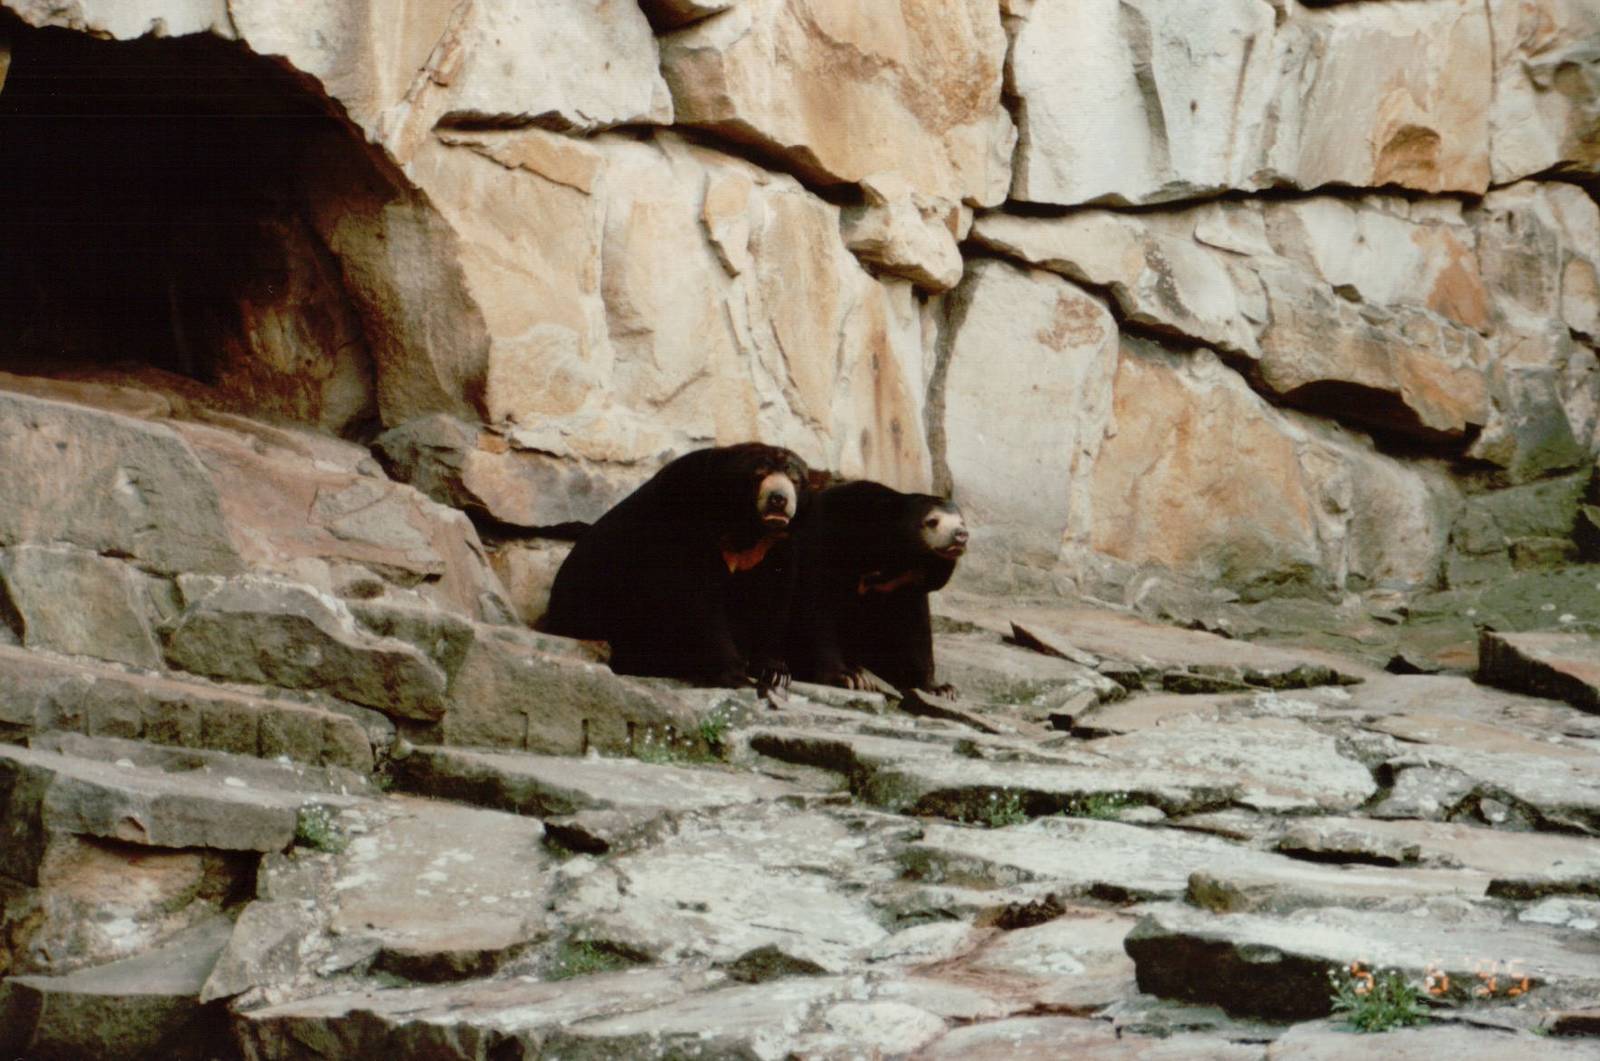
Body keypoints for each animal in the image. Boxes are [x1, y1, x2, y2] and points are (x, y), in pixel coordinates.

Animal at [539, 442, 808, 691]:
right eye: (759, 476)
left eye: (794, 481)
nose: (779, 499)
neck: (744, 525)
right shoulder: (683, 517)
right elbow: (692, 596)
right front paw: (734, 673)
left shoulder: (773, 545)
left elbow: (774, 595)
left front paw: (775, 672)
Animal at [785, 479, 968, 697]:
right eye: (932, 521)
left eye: (962, 522)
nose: (961, 535)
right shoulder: (824, 544)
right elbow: (817, 607)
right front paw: (845, 677)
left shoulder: (907, 585)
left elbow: (916, 629)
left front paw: (940, 688)